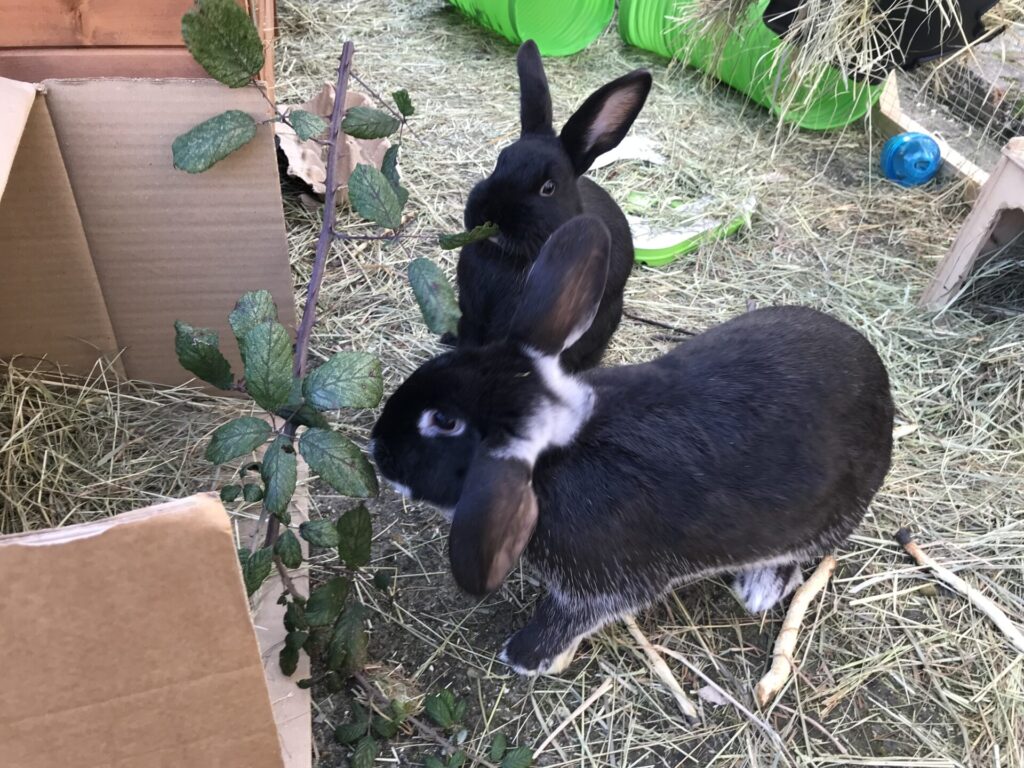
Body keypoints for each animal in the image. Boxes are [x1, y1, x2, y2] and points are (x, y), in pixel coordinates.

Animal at [371, 215, 895, 676]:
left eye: (443, 422)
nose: (378, 450)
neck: (559, 453)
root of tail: (881, 385)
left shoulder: (601, 584)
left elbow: (567, 619)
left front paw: (524, 656)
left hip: (821, 521)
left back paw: (759, 590)